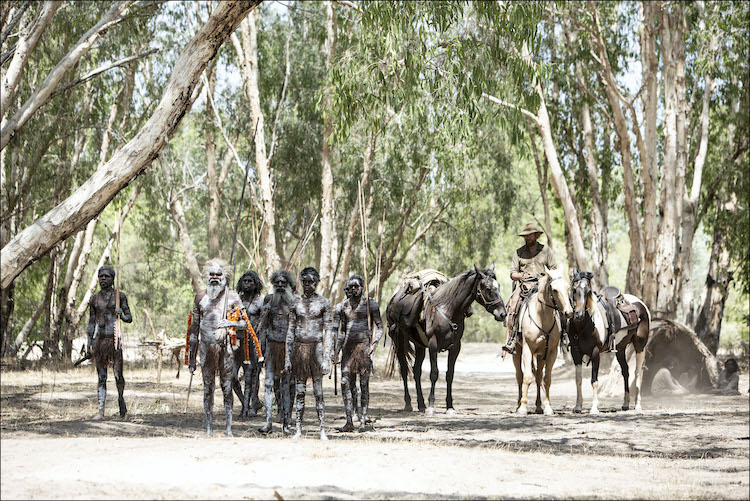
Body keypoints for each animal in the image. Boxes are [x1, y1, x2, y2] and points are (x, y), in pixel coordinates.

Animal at [388, 266, 512, 414]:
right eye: (487, 288)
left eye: (497, 286)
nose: (502, 314)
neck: (448, 310)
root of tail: (393, 300)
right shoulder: (433, 345)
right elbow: (434, 373)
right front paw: (431, 405)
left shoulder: (455, 347)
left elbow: (450, 375)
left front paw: (449, 406)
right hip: (399, 341)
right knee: (404, 369)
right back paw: (409, 404)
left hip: (420, 345)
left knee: (416, 370)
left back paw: (421, 405)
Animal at [516, 266, 572, 414]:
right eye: (555, 289)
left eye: (568, 287)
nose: (569, 312)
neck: (542, 318)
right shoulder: (527, 350)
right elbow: (527, 377)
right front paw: (523, 407)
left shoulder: (551, 352)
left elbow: (546, 379)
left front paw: (547, 407)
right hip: (517, 352)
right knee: (519, 376)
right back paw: (518, 404)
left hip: (541, 355)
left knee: (538, 376)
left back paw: (538, 406)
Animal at [568, 272, 652, 412]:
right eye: (574, 289)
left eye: (588, 291)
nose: (579, 314)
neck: (584, 324)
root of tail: (641, 304)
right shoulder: (576, 353)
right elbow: (578, 379)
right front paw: (578, 406)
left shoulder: (595, 352)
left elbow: (594, 381)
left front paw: (594, 408)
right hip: (620, 349)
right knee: (625, 371)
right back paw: (625, 403)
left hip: (640, 346)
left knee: (638, 372)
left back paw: (637, 405)